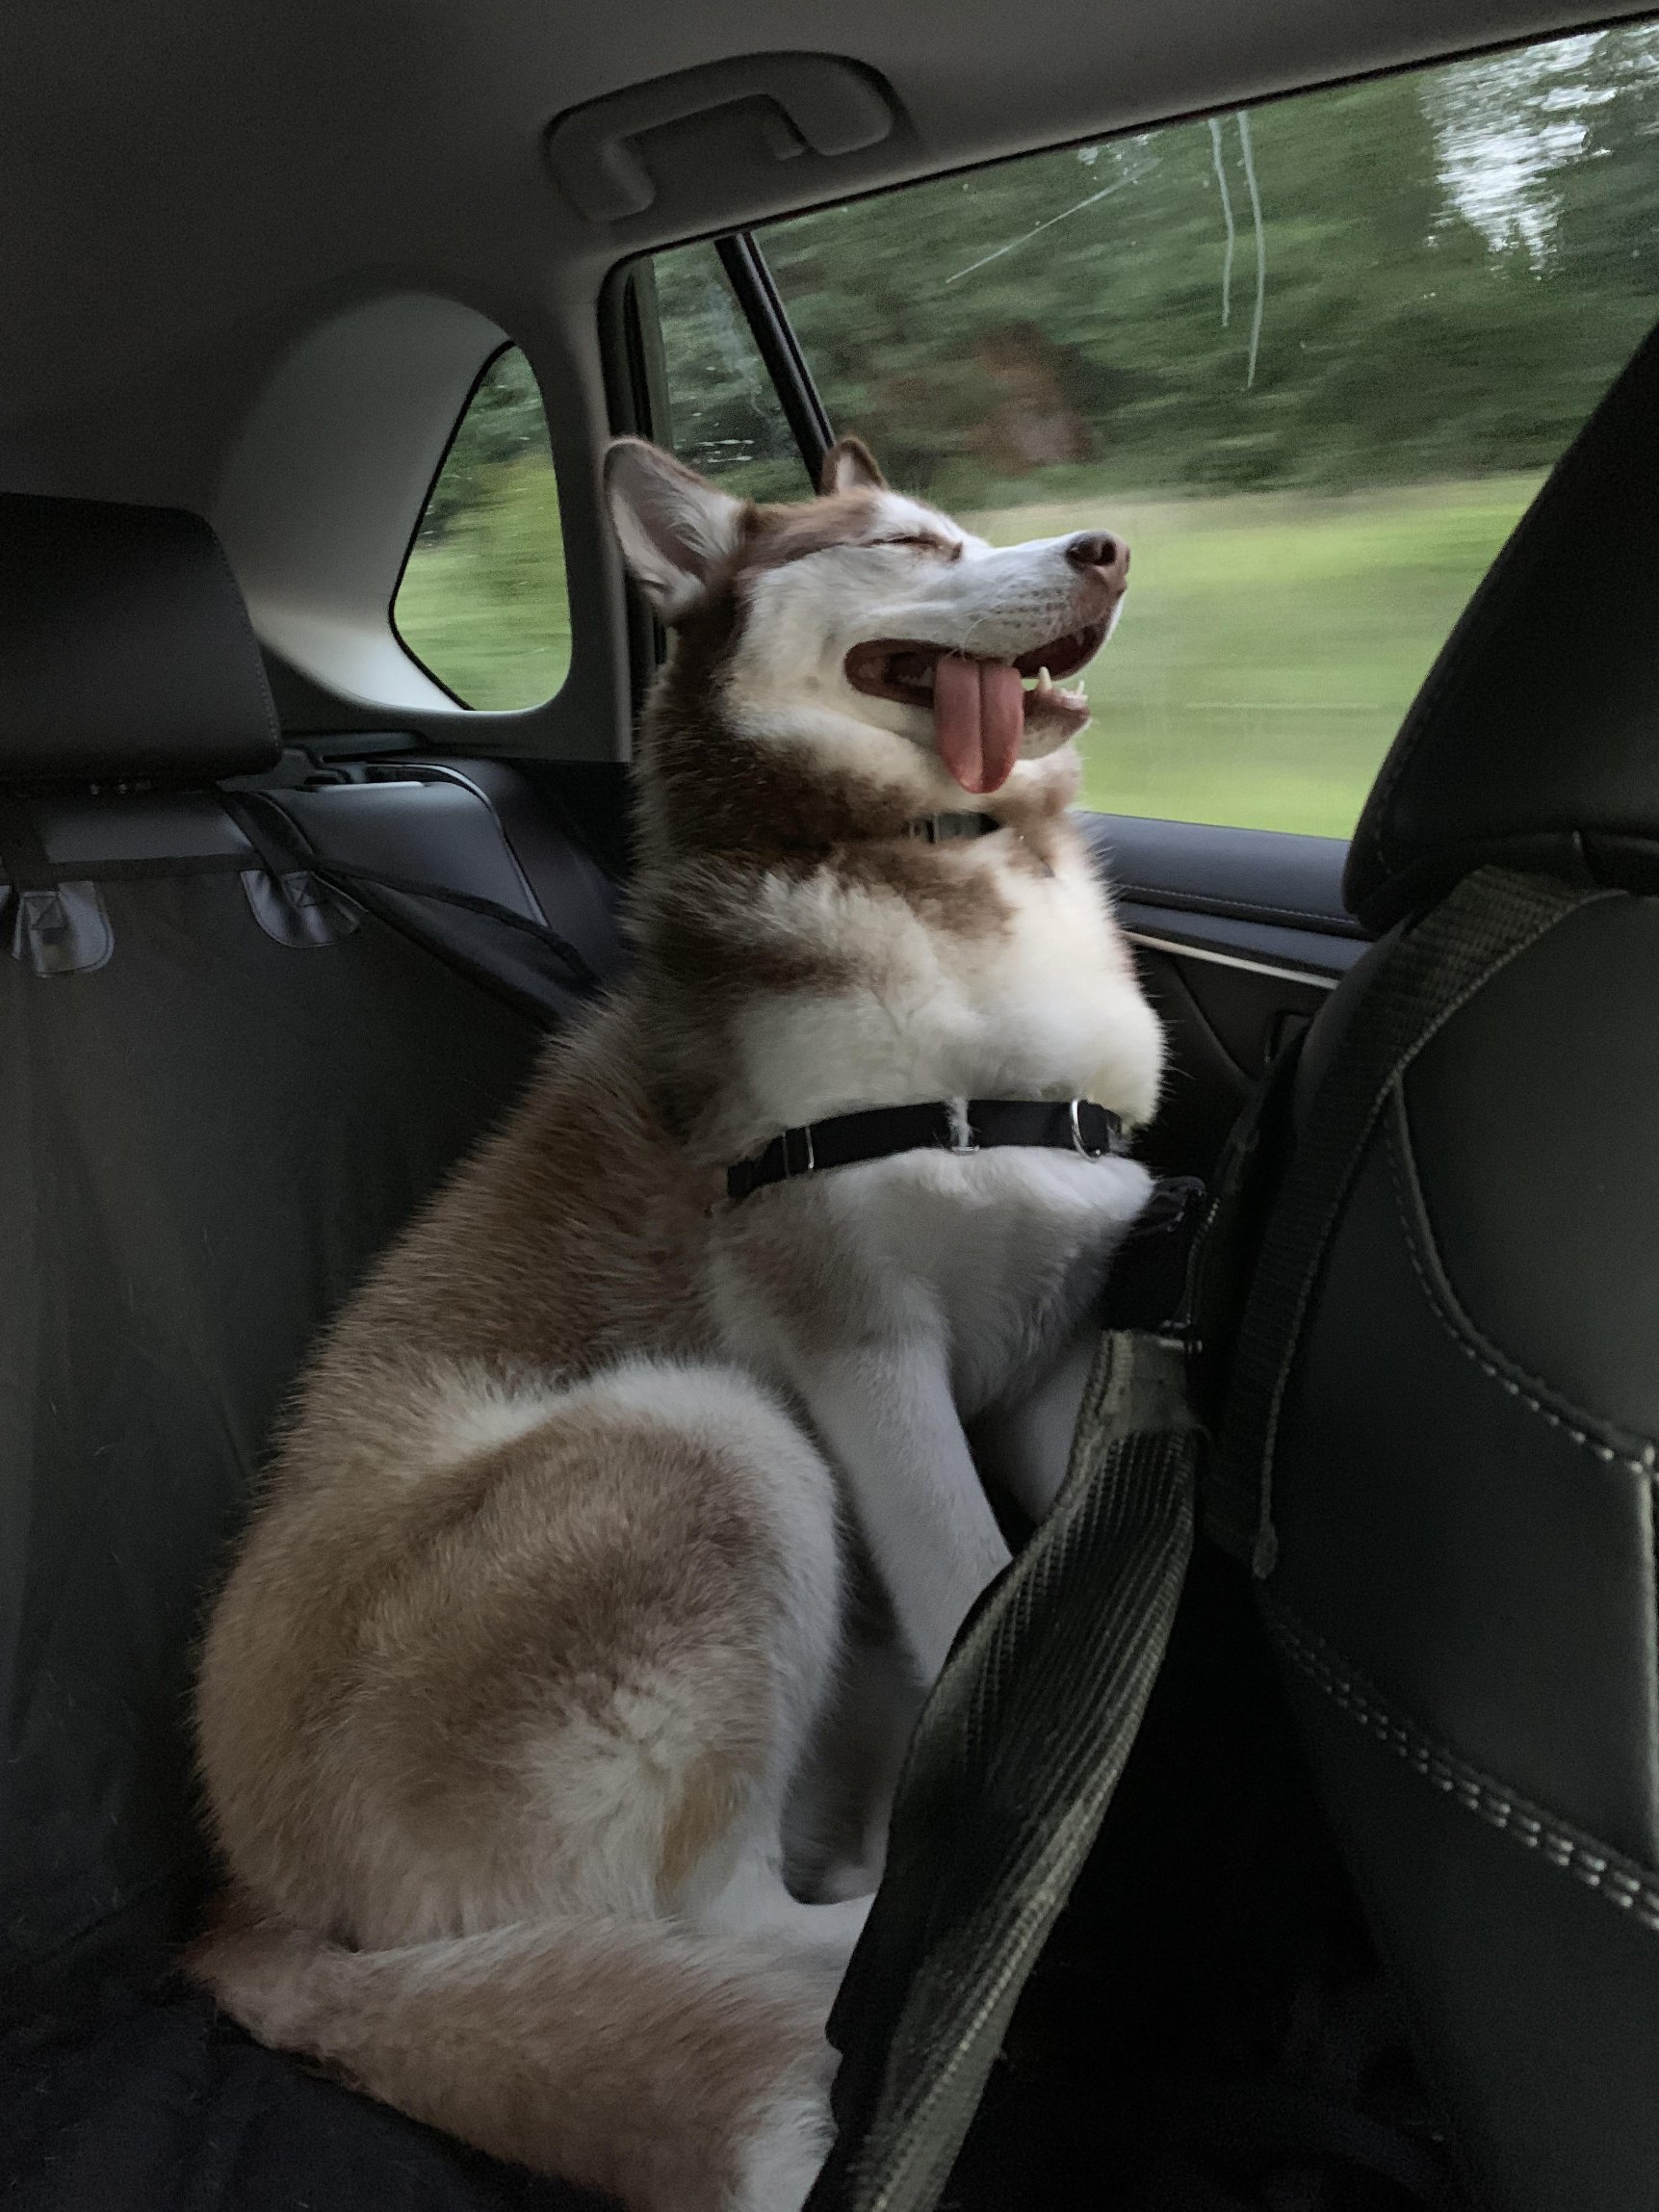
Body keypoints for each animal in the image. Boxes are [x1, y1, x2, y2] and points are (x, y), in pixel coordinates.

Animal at [190, 433, 1165, 2212]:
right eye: (906, 543)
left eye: (961, 523)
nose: (1104, 549)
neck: (937, 874)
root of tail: (246, 1898)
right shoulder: (859, 1346)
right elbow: (968, 1580)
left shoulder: (1058, 1329)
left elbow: (1044, 1540)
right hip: (705, 1441)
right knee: (726, 1917)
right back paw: (899, 1939)